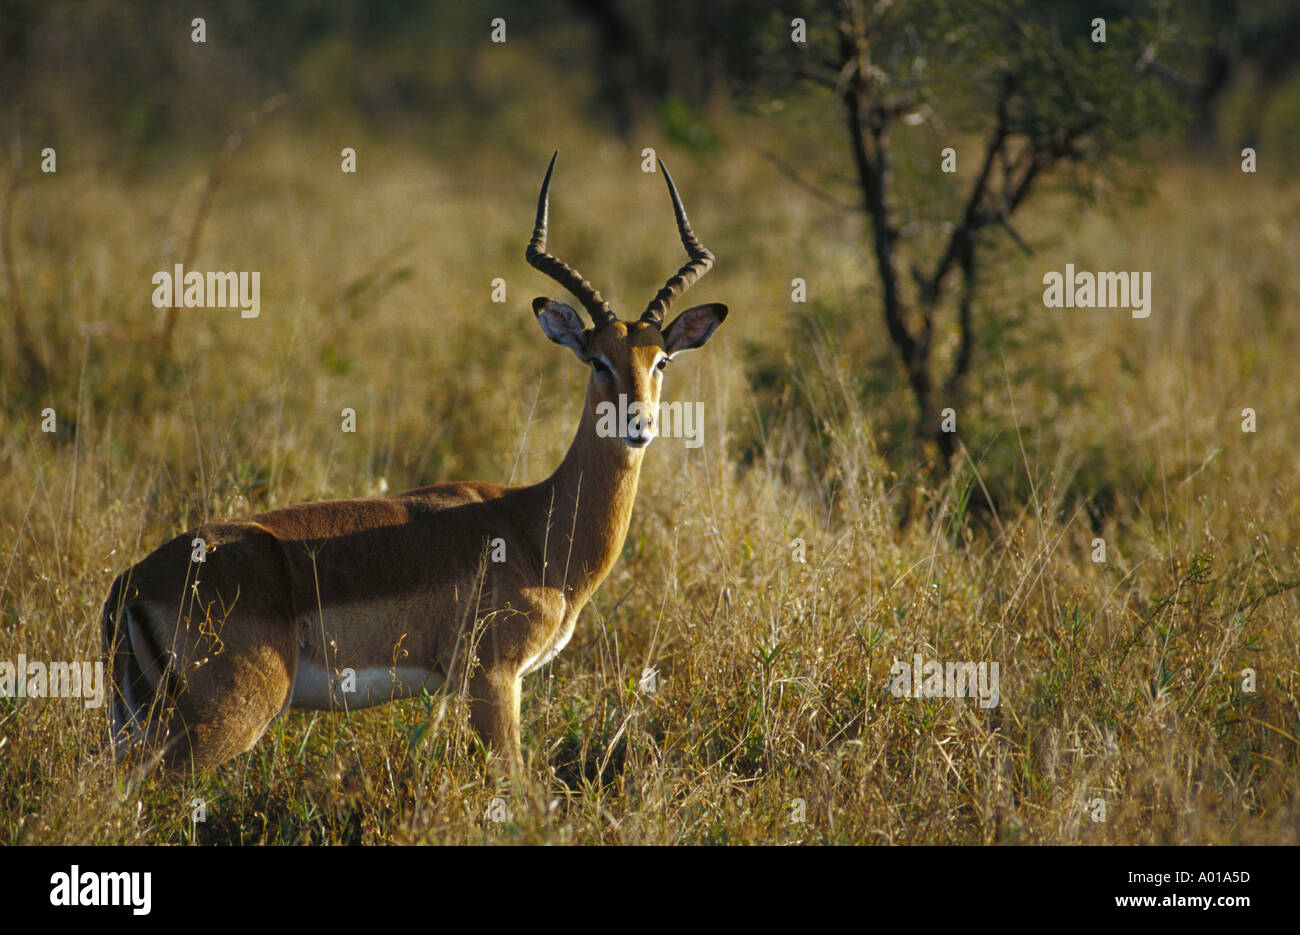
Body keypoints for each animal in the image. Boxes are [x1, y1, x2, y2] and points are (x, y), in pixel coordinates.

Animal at [102, 153, 727, 779]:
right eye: (598, 360)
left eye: (661, 360)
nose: (638, 425)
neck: (536, 528)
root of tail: (130, 585)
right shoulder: (492, 680)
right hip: (224, 720)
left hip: (136, 725)